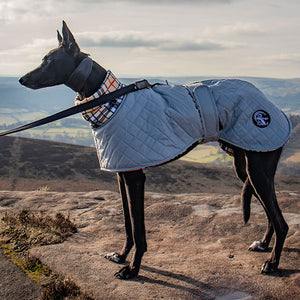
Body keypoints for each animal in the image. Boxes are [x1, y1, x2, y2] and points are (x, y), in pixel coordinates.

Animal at [18, 20, 288, 278]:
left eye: (48, 60)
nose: (22, 79)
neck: (109, 99)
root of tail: (270, 104)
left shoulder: (136, 177)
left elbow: (139, 229)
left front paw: (132, 269)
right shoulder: (122, 174)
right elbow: (128, 224)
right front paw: (121, 255)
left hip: (258, 169)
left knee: (281, 221)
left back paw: (272, 263)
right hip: (246, 168)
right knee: (270, 212)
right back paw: (264, 244)